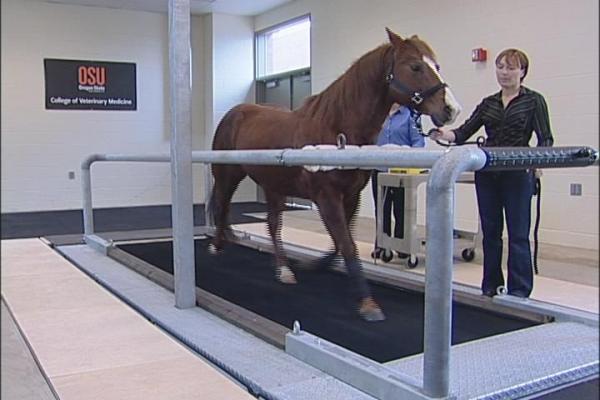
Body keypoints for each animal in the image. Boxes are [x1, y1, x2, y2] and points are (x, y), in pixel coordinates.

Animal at [206, 28, 460, 320]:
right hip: (228, 176)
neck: (335, 128)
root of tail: (234, 113)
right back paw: (217, 246)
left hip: (274, 186)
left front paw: (315, 265)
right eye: (415, 66)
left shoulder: (350, 196)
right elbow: (347, 243)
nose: (451, 109)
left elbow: (341, 242)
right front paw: (368, 303)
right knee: (224, 206)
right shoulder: (326, 196)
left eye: (436, 65)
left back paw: (284, 269)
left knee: (272, 224)